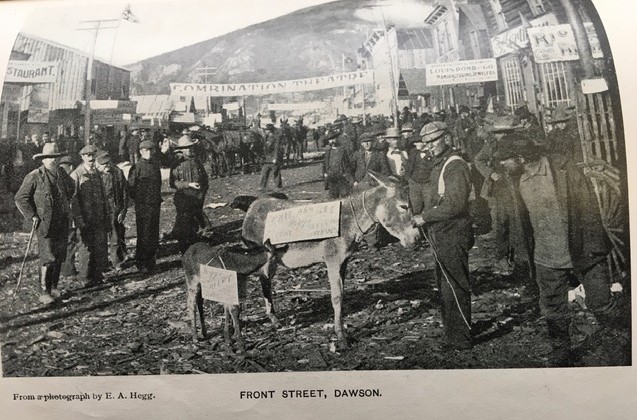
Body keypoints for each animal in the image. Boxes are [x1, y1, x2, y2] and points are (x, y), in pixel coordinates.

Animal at [241, 172, 420, 350]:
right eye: (403, 206)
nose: (416, 238)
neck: (348, 219)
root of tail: (253, 206)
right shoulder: (332, 261)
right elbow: (337, 297)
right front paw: (341, 336)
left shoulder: (343, 261)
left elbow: (342, 293)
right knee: (261, 283)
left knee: (264, 282)